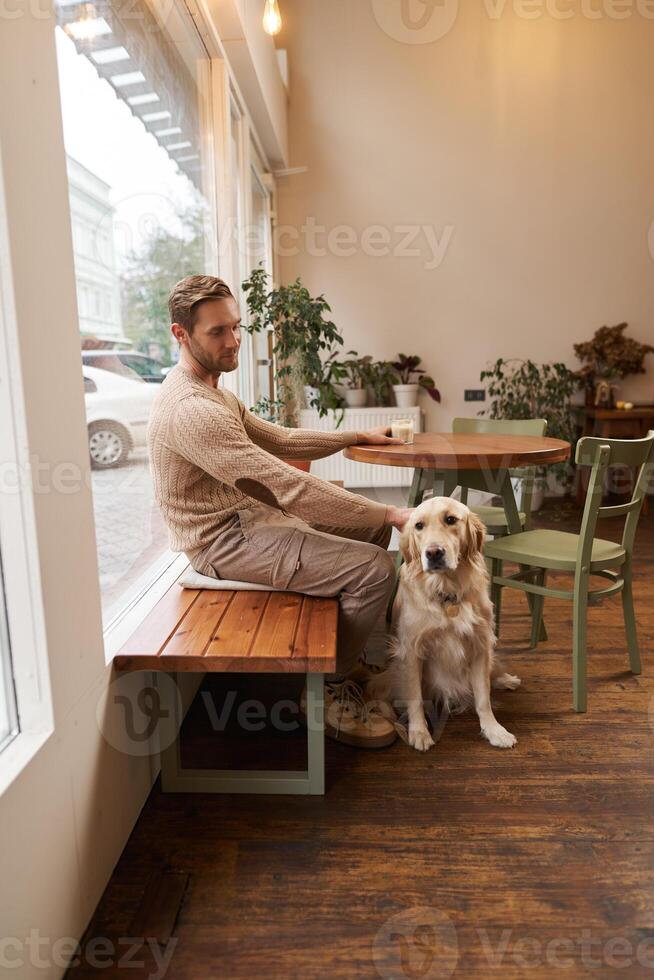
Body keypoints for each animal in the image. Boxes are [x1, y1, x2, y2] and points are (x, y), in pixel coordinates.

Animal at [372, 498, 520, 752]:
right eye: (419, 525)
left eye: (451, 519)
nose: (433, 553)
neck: (447, 590)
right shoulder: (411, 650)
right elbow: (415, 697)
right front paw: (419, 732)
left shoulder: (480, 645)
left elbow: (483, 698)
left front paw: (494, 730)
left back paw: (505, 679)